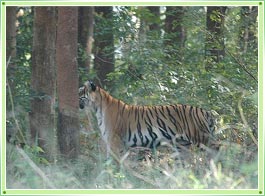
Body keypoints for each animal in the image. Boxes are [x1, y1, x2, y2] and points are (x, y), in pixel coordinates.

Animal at [79, 80, 219, 160]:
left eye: (81, 94)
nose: (77, 103)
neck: (97, 107)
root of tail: (205, 111)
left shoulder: (114, 141)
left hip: (203, 138)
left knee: (218, 149)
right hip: (183, 145)